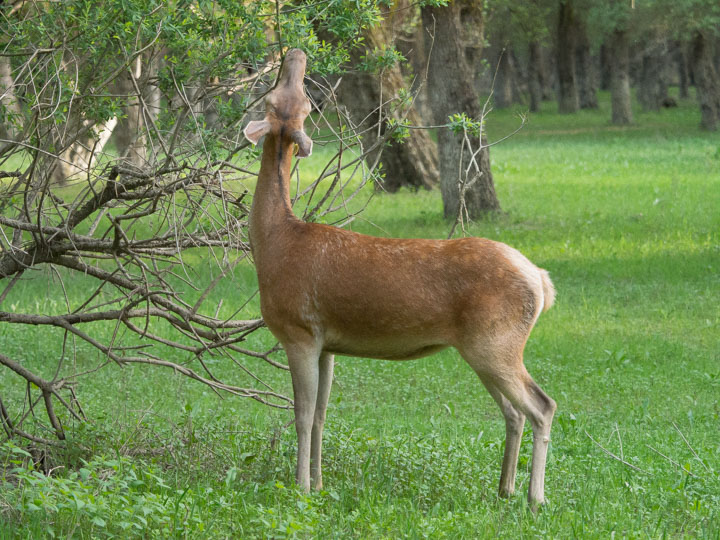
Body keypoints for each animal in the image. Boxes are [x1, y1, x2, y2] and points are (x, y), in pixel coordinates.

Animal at [242, 48, 556, 508]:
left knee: (542, 405)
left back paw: (535, 498)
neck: (274, 244)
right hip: (485, 347)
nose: (295, 55)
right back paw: (505, 488)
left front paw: (300, 487)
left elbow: (301, 414)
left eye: (300, 104)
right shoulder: (327, 342)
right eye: (287, 98)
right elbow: (321, 415)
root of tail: (541, 280)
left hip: (496, 342)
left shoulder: (298, 329)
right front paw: (319, 484)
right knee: (515, 411)